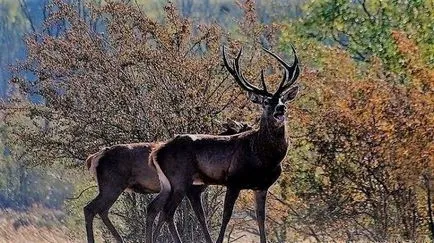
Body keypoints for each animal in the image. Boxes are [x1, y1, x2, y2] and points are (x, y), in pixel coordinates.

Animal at [83, 120, 251, 243]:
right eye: (246, 127)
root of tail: (93, 159)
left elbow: (159, 212)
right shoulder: (192, 190)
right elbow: (200, 217)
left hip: (112, 187)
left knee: (102, 210)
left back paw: (120, 240)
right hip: (112, 185)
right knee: (90, 208)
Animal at [145, 45, 298, 243]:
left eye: (282, 99)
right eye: (265, 101)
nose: (281, 108)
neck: (263, 157)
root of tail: (156, 153)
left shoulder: (261, 187)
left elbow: (261, 220)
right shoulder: (233, 181)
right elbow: (226, 216)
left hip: (170, 184)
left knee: (156, 208)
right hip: (179, 179)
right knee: (167, 212)